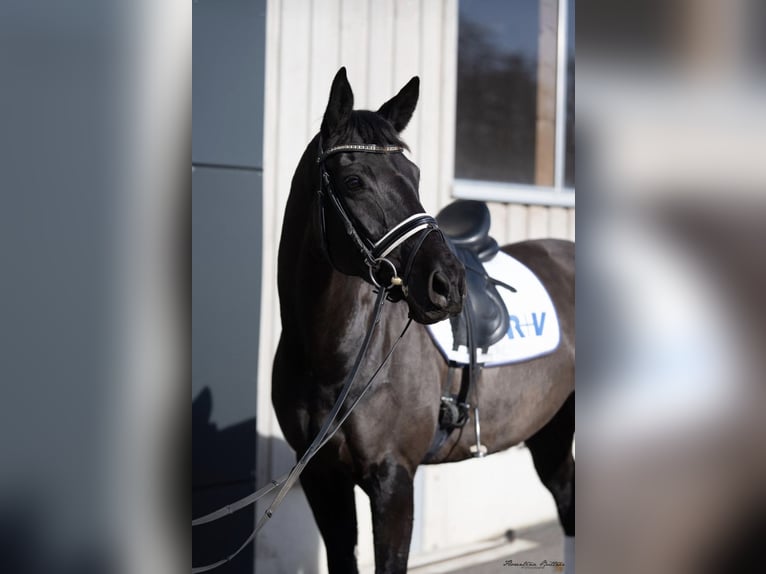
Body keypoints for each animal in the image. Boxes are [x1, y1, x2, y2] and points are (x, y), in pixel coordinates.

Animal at [272, 71, 572, 574]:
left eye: (413, 176)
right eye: (353, 180)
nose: (447, 284)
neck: (334, 357)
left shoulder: (393, 480)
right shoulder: (321, 478)